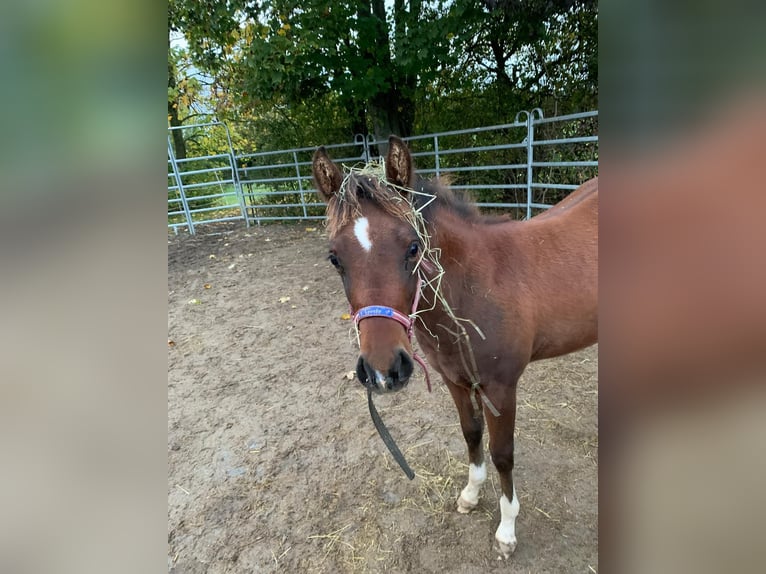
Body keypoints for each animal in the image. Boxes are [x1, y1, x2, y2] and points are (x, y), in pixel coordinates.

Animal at [312, 135, 600, 560]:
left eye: (413, 247)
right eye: (335, 258)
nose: (384, 370)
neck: (476, 286)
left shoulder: (500, 387)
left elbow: (502, 453)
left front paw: (506, 531)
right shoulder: (456, 380)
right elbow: (471, 434)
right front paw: (470, 495)